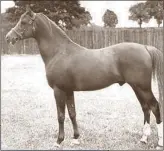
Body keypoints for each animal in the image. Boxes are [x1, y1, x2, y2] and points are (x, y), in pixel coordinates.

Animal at [5, 6, 163, 149]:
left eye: (23, 22)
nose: (8, 37)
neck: (59, 52)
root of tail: (145, 48)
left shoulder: (58, 90)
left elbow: (61, 116)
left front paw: (58, 141)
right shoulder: (69, 91)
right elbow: (72, 113)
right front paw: (75, 139)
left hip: (142, 87)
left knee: (154, 106)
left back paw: (159, 142)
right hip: (137, 88)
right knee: (145, 108)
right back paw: (144, 138)